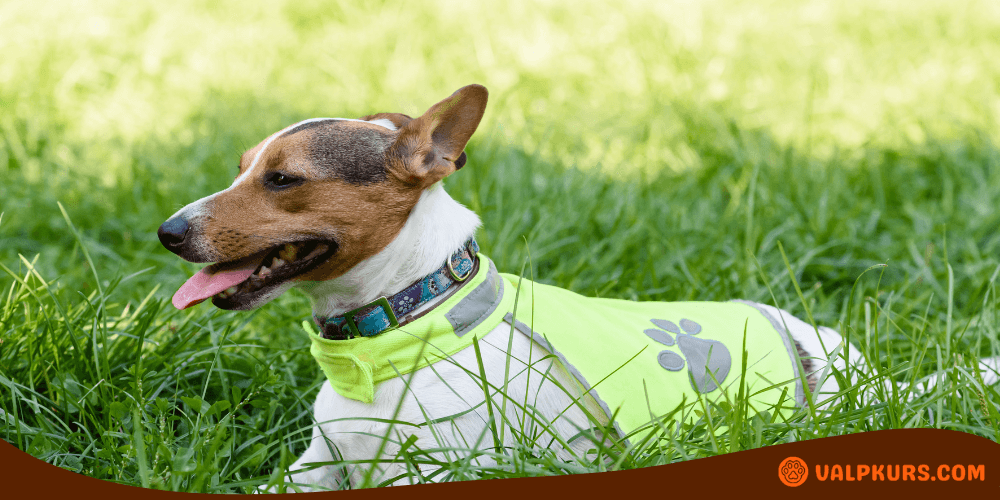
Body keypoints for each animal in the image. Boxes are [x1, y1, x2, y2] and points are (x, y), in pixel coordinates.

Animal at [158, 84, 1000, 490]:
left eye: (283, 180)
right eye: (243, 167)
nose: (167, 231)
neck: (398, 330)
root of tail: (850, 367)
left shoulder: (442, 469)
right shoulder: (316, 468)